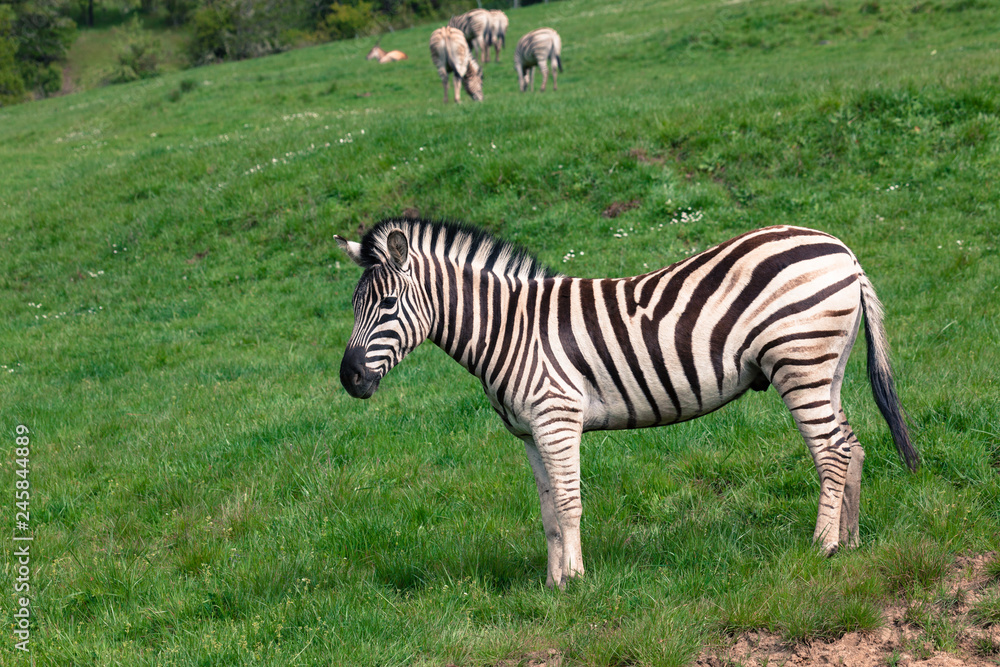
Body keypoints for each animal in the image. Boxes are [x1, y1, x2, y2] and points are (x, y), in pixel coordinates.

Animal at [336, 219, 918, 589]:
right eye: (353, 305)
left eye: (387, 303)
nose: (349, 378)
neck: (509, 329)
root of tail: (842, 250)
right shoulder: (530, 433)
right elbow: (547, 509)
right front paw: (551, 585)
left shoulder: (557, 417)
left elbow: (569, 502)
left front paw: (575, 581)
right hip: (827, 366)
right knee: (852, 446)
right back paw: (851, 542)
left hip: (799, 361)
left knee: (831, 452)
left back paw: (822, 547)